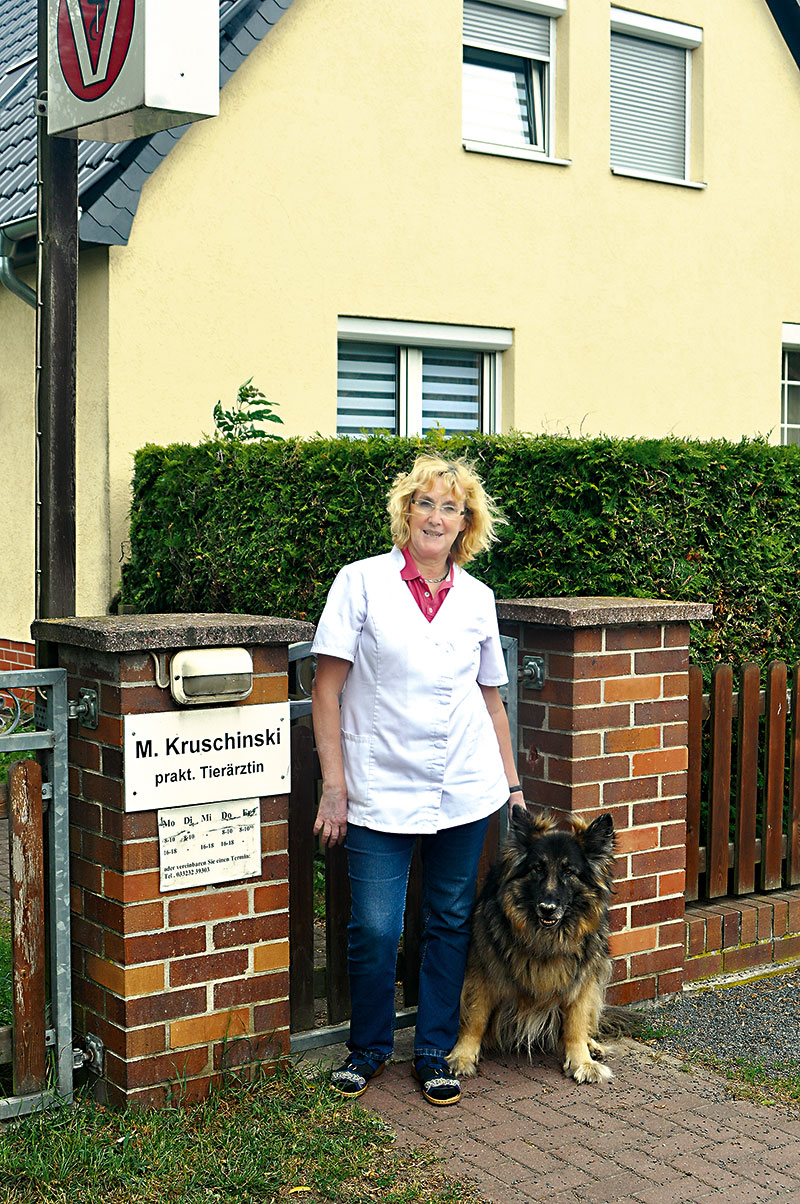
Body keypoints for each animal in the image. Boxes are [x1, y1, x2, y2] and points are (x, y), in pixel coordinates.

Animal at [445, 809, 636, 1083]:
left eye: (569, 872)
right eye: (537, 868)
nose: (547, 908)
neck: (546, 938)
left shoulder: (583, 980)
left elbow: (576, 1023)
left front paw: (582, 1061)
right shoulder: (481, 972)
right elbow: (475, 1018)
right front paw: (462, 1056)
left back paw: (592, 1045)